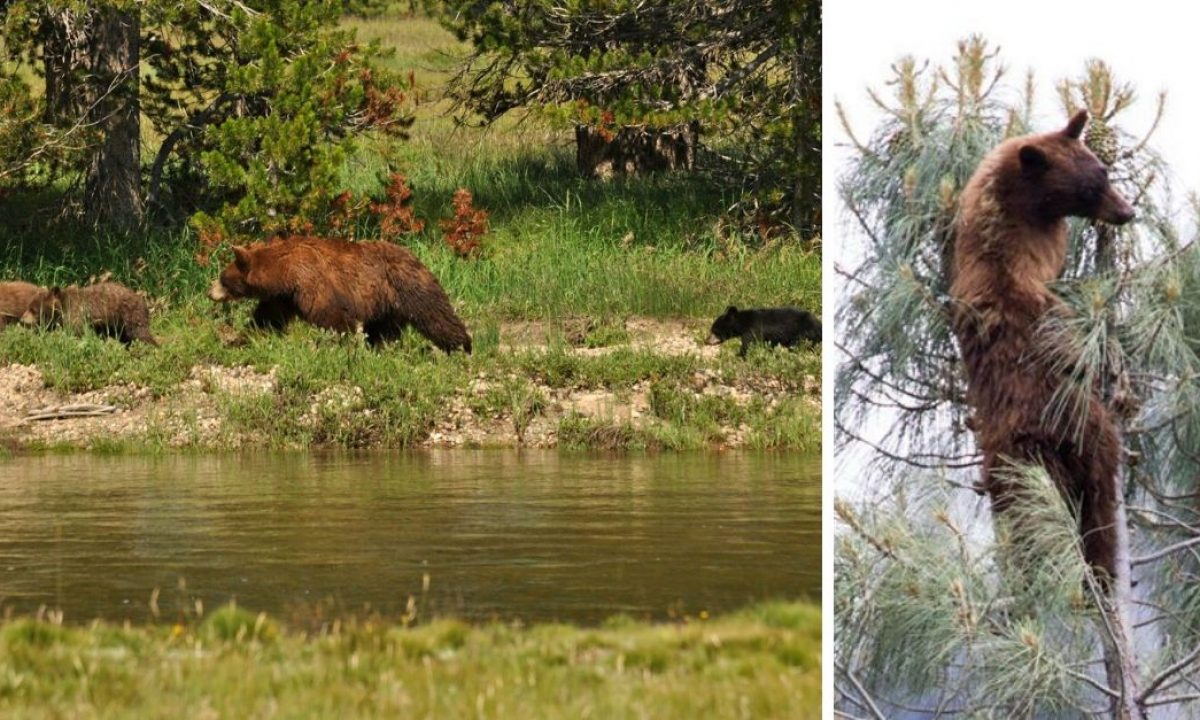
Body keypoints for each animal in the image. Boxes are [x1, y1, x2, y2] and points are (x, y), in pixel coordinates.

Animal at [22, 280, 159, 345]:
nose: (23, 320)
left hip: (129, 314)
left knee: (140, 333)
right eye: (29, 306)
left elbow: (78, 332)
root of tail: (142, 300)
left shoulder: (76, 314)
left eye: (33, 309)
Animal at [208, 237, 470, 352]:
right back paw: (379, 347)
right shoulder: (283, 298)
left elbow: (332, 317)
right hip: (386, 304)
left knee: (435, 315)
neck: (285, 273)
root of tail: (416, 257)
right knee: (384, 329)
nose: (209, 291)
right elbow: (266, 320)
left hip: (408, 286)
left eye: (222, 277)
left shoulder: (311, 284)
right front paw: (240, 339)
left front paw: (345, 344)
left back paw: (462, 346)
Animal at [945, 111, 1132, 585]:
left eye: (1103, 170)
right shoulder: (1039, 294)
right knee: (1099, 505)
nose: (1127, 211)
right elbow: (1073, 341)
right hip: (1082, 433)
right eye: (1095, 182)